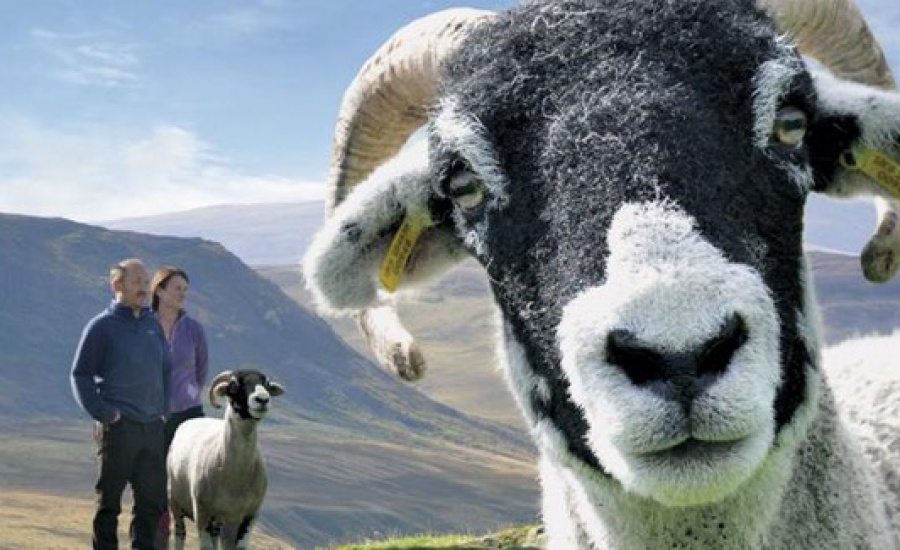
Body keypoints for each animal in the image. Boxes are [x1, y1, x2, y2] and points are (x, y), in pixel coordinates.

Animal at [166, 369, 284, 550]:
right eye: (234, 385)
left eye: (267, 385)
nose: (263, 399)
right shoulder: (203, 512)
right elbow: (206, 546)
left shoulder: (249, 516)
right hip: (175, 503)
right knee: (180, 536)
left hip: (218, 521)